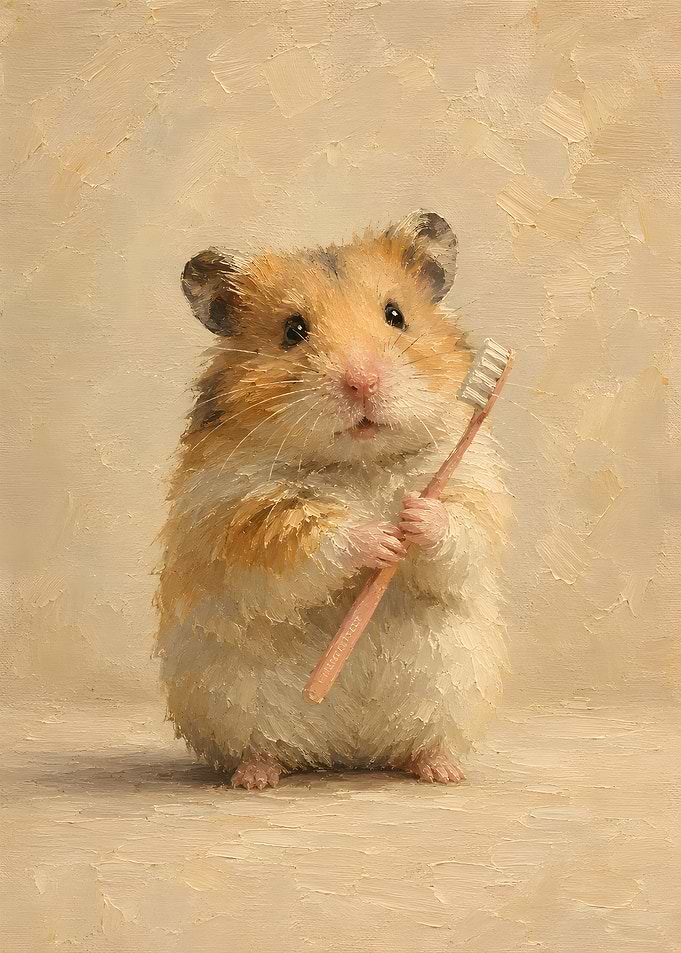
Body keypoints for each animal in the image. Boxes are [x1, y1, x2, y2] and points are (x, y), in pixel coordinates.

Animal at [155, 210, 510, 790]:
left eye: (395, 315)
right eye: (293, 330)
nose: (361, 382)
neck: (359, 464)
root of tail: (346, 752)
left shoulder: (473, 487)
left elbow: (459, 533)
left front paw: (414, 517)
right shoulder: (240, 513)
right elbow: (315, 538)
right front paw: (381, 536)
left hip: (451, 686)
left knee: (421, 742)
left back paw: (442, 770)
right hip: (228, 700)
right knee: (262, 747)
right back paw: (255, 778)